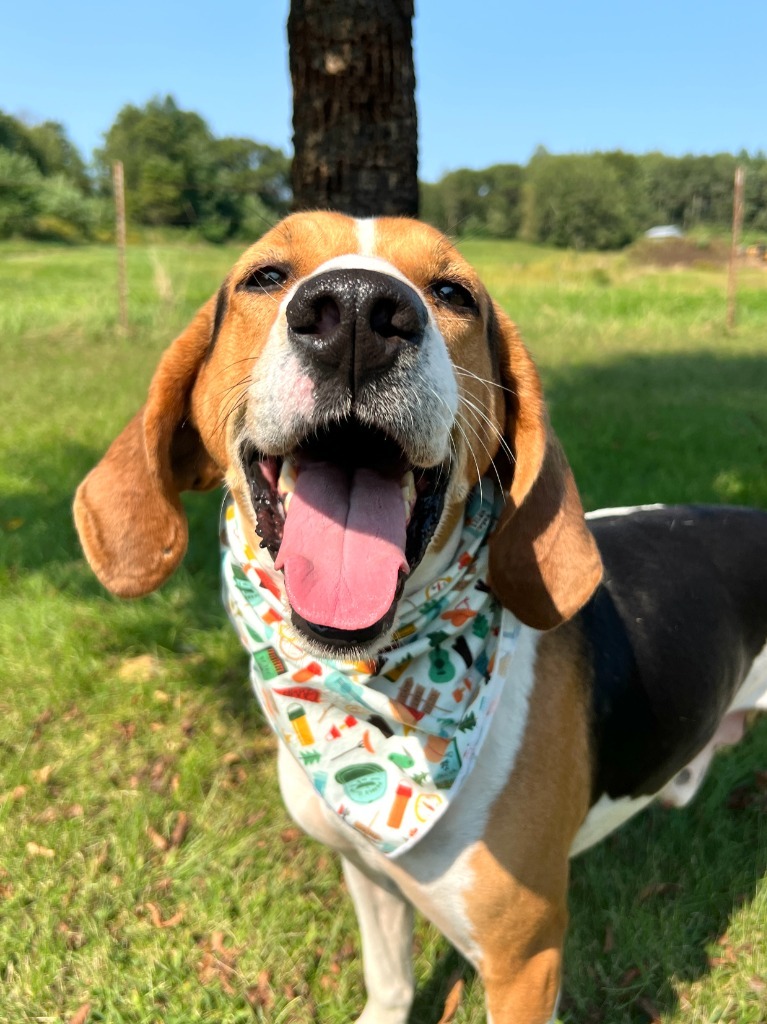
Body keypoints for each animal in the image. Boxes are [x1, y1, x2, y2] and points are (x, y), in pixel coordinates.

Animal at [73, 209, 765, 1024]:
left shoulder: (525, 960)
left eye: (453, 292)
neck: (368, 692)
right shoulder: (369, 873)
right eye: (265, 276)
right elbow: (391, 982)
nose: (355, 313)